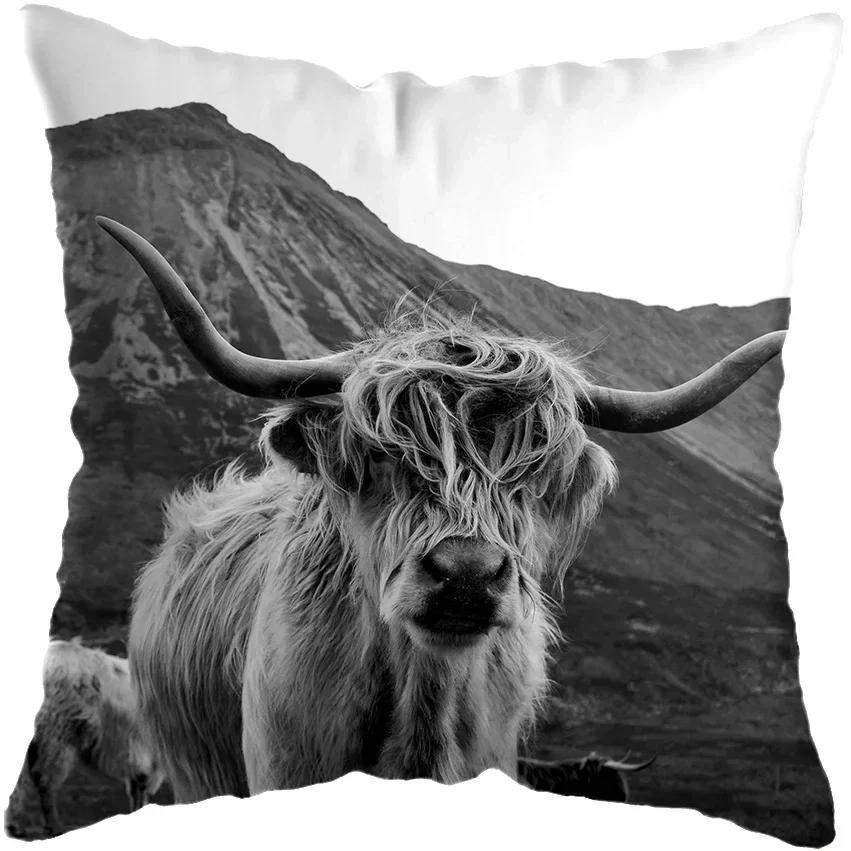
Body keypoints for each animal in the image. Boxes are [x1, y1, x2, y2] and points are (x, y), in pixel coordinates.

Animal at [12, 638, 165, 837]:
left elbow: (137, 789)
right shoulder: (144, 753)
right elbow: (141, 786)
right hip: (54, 734)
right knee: (46, 781)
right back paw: (54, 827)